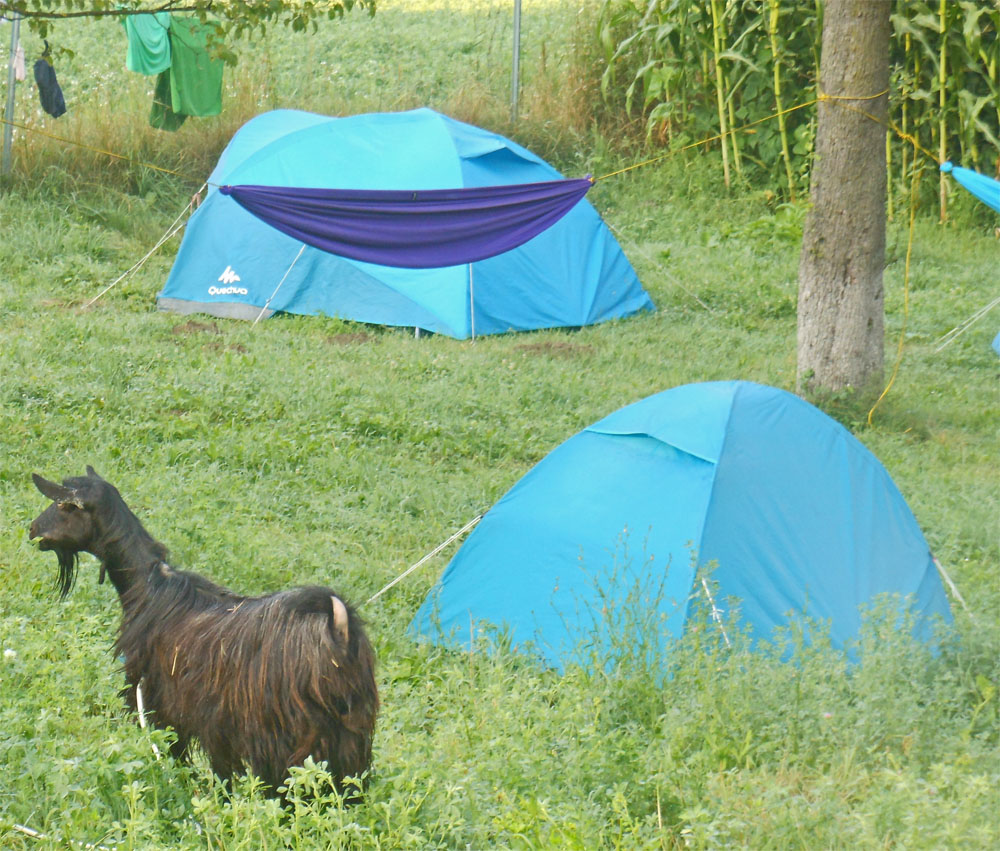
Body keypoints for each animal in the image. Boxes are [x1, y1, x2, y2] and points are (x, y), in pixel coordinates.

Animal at [28, 466, 378, 798]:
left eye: (64, 505)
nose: (33, 530)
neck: (149, 587)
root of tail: (337, 628)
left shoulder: (164, 706)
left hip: (286, 735)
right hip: (350, 731)